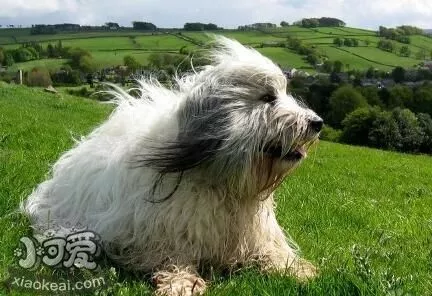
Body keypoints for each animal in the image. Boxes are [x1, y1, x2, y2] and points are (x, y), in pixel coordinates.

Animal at [22, 37, 322, 296]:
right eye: (268, 97)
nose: (317, 123)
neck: (221, 181)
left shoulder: (256, 233)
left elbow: (271, 251)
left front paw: (295, 269)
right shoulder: (157, 233)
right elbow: (173, 255)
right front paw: (181, 281)